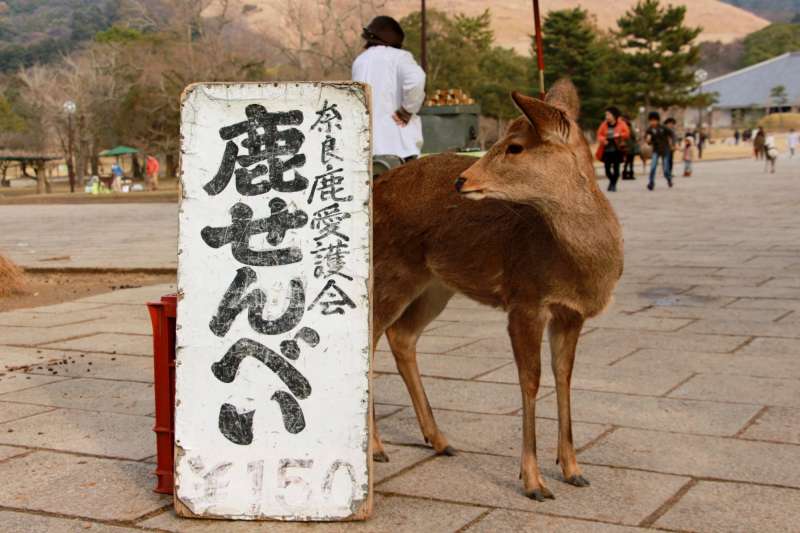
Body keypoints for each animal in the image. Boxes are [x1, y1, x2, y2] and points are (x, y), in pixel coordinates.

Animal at [370, 79, 624, 498]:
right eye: (500, 139)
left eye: (515, 146)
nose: (462, 179)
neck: (579, 267)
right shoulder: (524, 299)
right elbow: (530, 379)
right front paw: (534, 482)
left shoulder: (571, 313)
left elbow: (564, 376)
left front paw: (573, 469)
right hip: (390, 270)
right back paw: (376, 448)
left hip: (435, 285)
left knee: (401, 335)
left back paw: (440, 440)